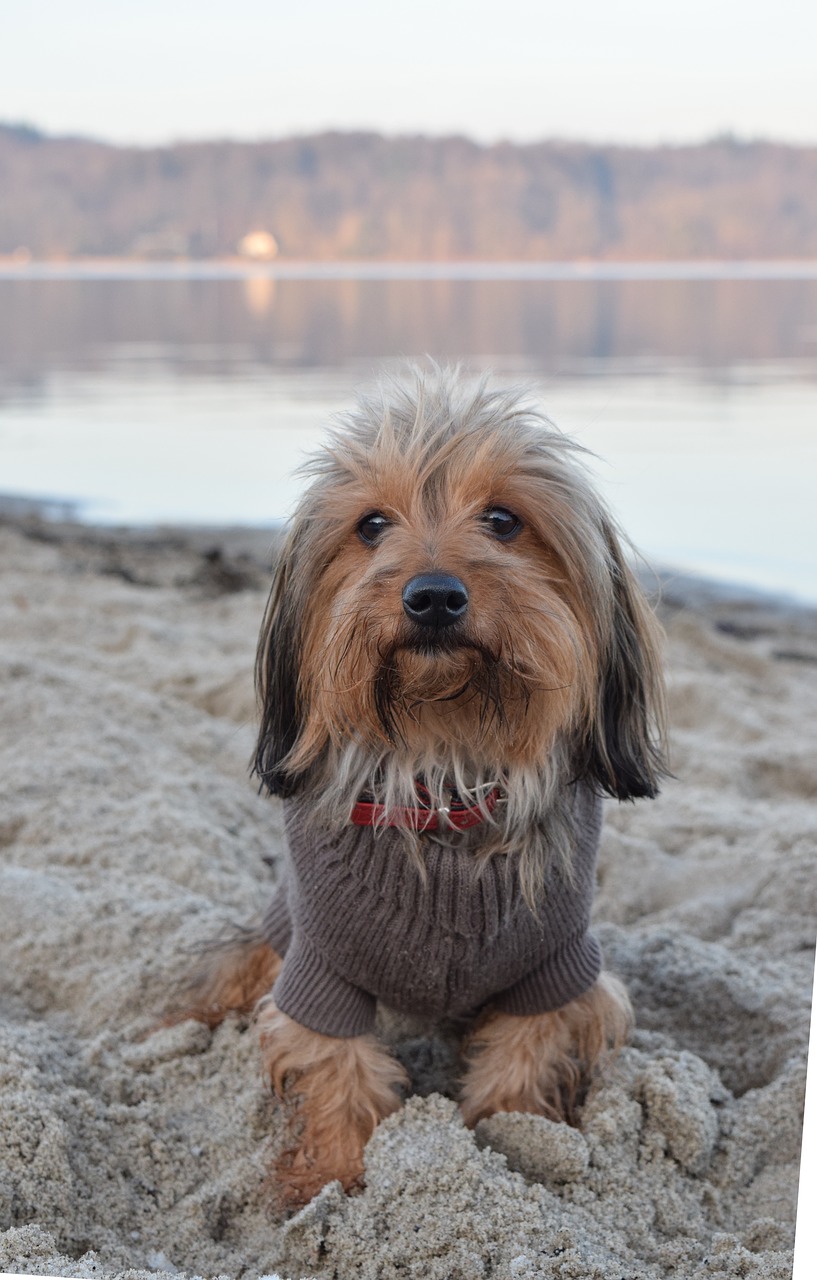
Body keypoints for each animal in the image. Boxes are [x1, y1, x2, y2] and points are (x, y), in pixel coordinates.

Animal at [176, 366, 671, 1203]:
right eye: (372, 525)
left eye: (502, 520)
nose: (433, 595)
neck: (443, 768)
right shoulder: (320, 973)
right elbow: (334, 1069)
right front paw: (332, 1177)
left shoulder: (551, 971)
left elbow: (522, 1062)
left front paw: (509, 1142)